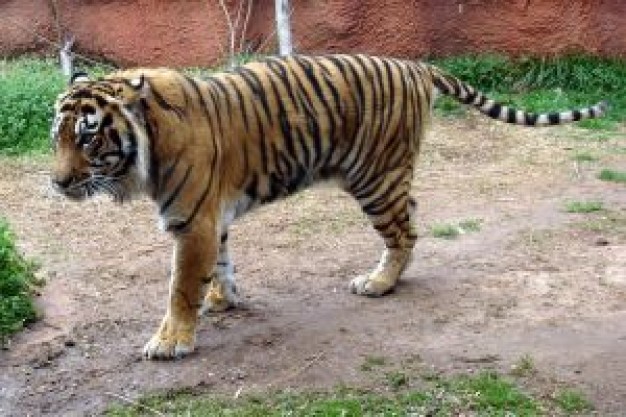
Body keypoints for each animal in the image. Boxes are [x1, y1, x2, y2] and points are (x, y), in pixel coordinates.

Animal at [50, 54, 604, 358]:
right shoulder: (213, 217)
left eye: (88, 137)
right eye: (57, 136)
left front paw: (170, 342)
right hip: (389, 175)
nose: (56, 183)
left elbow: (179, 288)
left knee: (404, 232)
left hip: (374, 178)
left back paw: (379, 283)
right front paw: (223, 299)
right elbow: (220, 265)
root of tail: (415, 65)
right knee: (413, 215)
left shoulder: (193, 221)